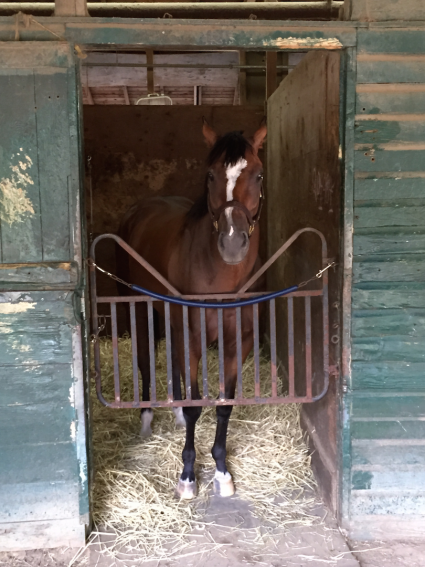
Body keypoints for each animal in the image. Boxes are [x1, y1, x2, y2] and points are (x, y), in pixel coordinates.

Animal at [117, 120, 264, 502]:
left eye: (258, 174)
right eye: (210, 175)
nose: (232, 242)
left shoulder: (236, 343)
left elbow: (224, 405)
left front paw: (223, 472)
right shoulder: (192, 336)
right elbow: (197, 405)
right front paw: (187, 475)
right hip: (141, 310)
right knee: (145, 357)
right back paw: (147, 418)